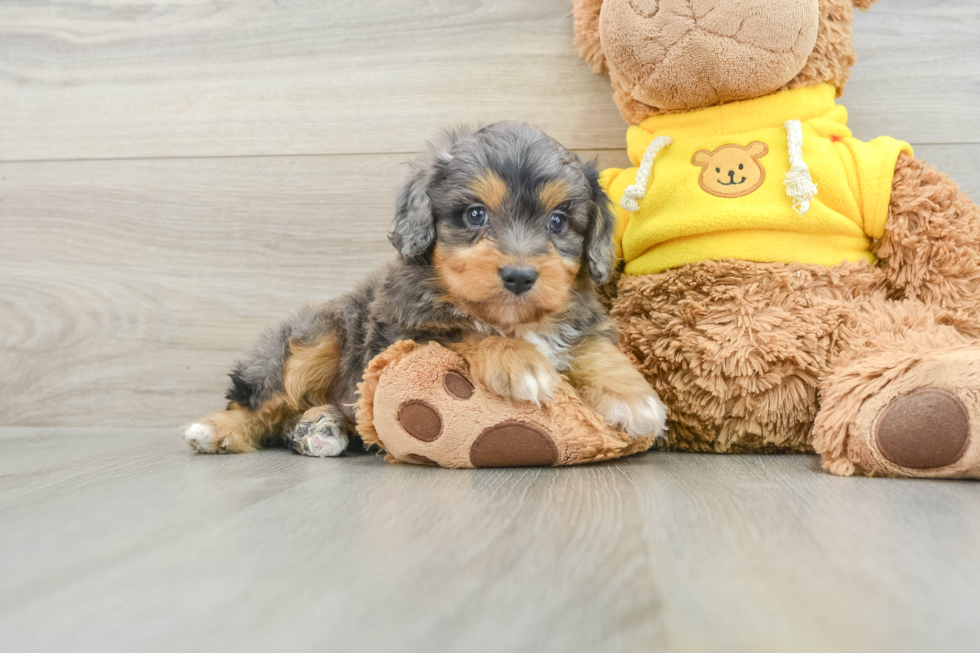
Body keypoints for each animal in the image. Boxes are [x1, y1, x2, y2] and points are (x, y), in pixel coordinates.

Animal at [183, 123, 668, 458]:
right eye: (475, 214)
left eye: (557, 222)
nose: (519, 276)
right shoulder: (405, 333)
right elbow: (468, 331)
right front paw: (520, 361)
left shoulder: (581, 316)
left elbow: (592, 346)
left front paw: (633, 396)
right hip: (315, 337)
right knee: (259, 402)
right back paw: (219, 430)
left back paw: (319, 427)